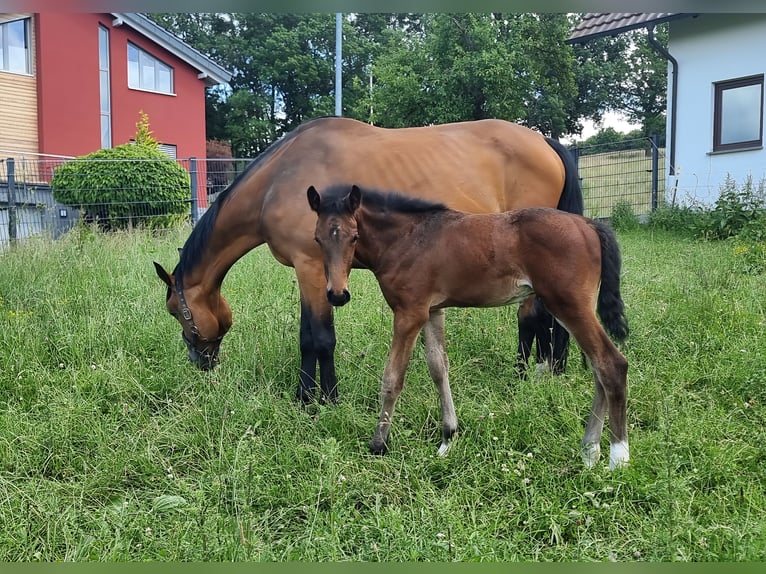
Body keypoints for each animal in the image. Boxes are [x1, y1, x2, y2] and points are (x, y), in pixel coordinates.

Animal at [153, 116, 583, 404]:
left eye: (176, 311)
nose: (199, 361)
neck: (280, 178)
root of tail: (544, 142)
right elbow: (313, 335)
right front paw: (312, 396)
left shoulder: (311, 268)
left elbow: (317, 338)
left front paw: (319, 399)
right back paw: (545, 368)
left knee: (532, 315)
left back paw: (525, 374)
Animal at [307, 183, 630, 470]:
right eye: (317, 239)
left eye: (354, 236)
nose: (337, 294)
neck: (406, 238)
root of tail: (589, 224)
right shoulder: (432, 311)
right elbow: (439, 368)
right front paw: (447, 438)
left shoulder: (409, 314)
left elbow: (393, 378)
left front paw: (379, 444)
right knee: (598, 368)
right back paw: (590, 451)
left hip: (569, 305)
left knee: (611, 364)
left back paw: (617, 458)